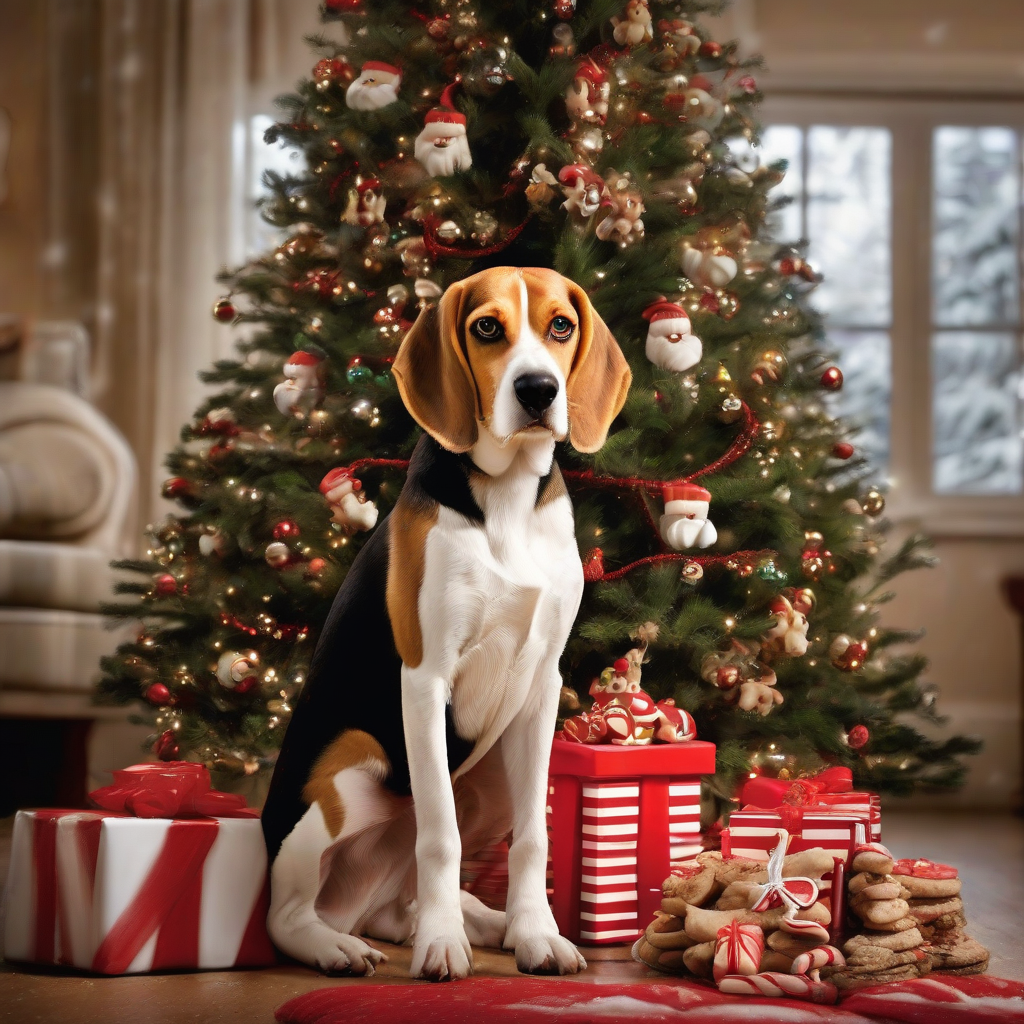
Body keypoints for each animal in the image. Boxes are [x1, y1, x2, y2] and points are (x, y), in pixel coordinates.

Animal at [262, 268, 630, 978]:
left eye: (561, 325)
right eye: (486, 327)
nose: (538, 389)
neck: (507, 495)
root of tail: (356, 905)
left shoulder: (543, 686)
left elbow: (533, 840)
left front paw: (536, 932)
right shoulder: (426, 679)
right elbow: (439, 834)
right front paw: (441, 945)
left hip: (493, 781)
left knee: (398, 907)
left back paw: (487, 922)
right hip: (345, 776)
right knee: (288, 917)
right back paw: (342, 946)